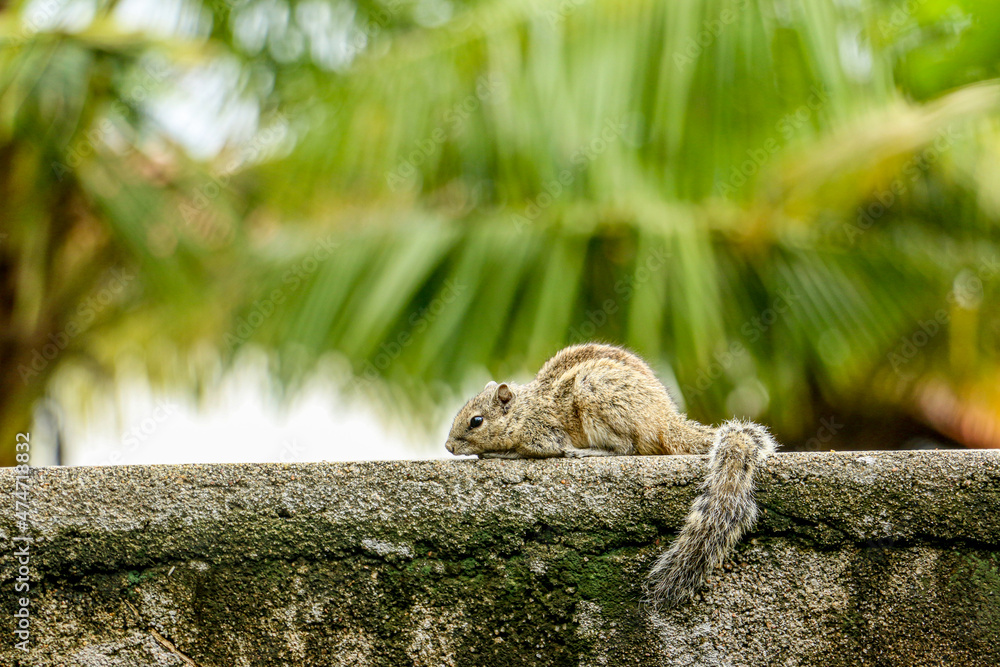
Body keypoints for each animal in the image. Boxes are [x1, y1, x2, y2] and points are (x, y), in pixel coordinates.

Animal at [445, 343, 778, 607]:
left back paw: (589, 452)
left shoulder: (544, 434)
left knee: (625, 447)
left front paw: (496, 453)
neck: (524, 409)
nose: (448, 446)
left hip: (597, 397)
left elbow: (531, 450)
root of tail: (664, 422)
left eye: (476, 421)